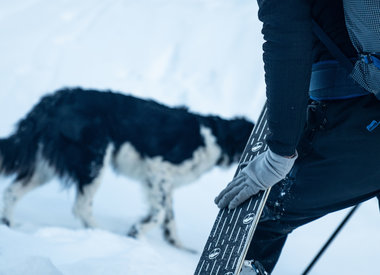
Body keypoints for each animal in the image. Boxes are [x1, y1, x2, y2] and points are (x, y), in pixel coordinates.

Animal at [0, 88, 255, 250]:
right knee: (81, 206)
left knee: (12, 191)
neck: (214, 137)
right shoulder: (158, 170)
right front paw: (136, 232)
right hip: (94, 160)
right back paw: (102, 235)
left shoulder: (165, 184)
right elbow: (159, 214)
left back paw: (8, 224)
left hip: (48, 166)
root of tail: (54, 99)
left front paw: (178, 245)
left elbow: (169, 218)